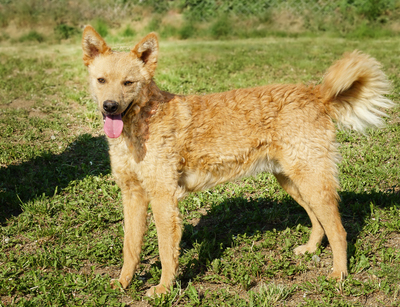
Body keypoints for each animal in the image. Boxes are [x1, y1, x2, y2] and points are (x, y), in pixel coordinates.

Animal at [81, 25, 394, 296]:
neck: (142, 123)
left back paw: (339, 274)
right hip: (293, 182)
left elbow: (165, 251)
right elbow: (130, 247)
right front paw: (124, 282)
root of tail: (316, 94)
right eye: (101, 80)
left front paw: (163, 289)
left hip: (312, 181)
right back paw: (310, 250)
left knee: (339, 230)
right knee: (319, 223)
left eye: (129, 83)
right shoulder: (132, 195)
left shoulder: (163, 198)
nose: (110, 107)